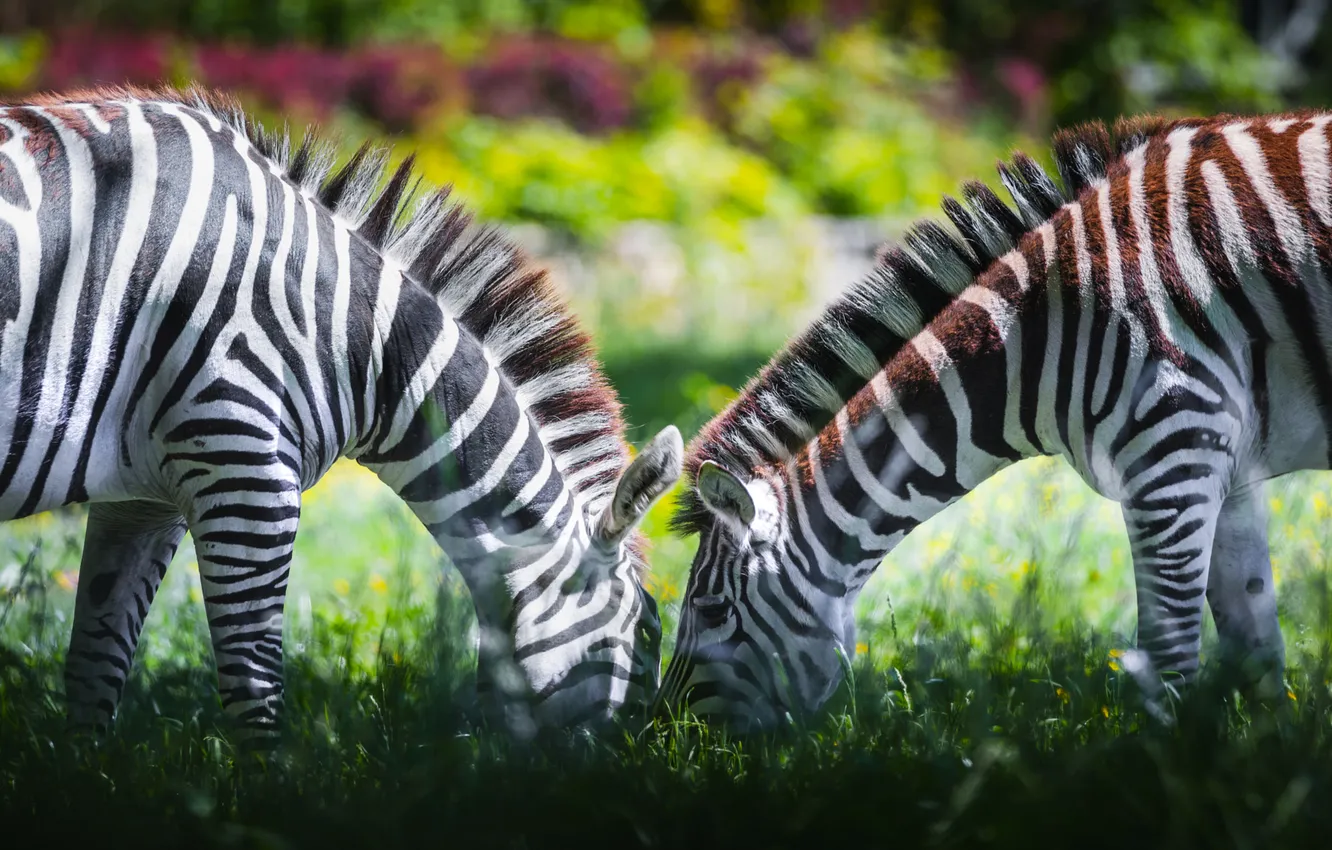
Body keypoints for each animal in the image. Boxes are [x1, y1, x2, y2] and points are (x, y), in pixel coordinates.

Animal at [0, 85, 681, 743]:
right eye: (650, 633)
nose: (635, 760)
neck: (356, 339)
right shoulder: (246, 469)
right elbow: (254, 683)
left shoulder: (143, 496)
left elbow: (95, 667)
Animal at [657, 110, 1332, 729]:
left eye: (712, 611)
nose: (669, 736)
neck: (1036, 332)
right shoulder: (1226, 466)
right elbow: (1255, 649)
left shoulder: (1173, 452)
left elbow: (1167, 656)